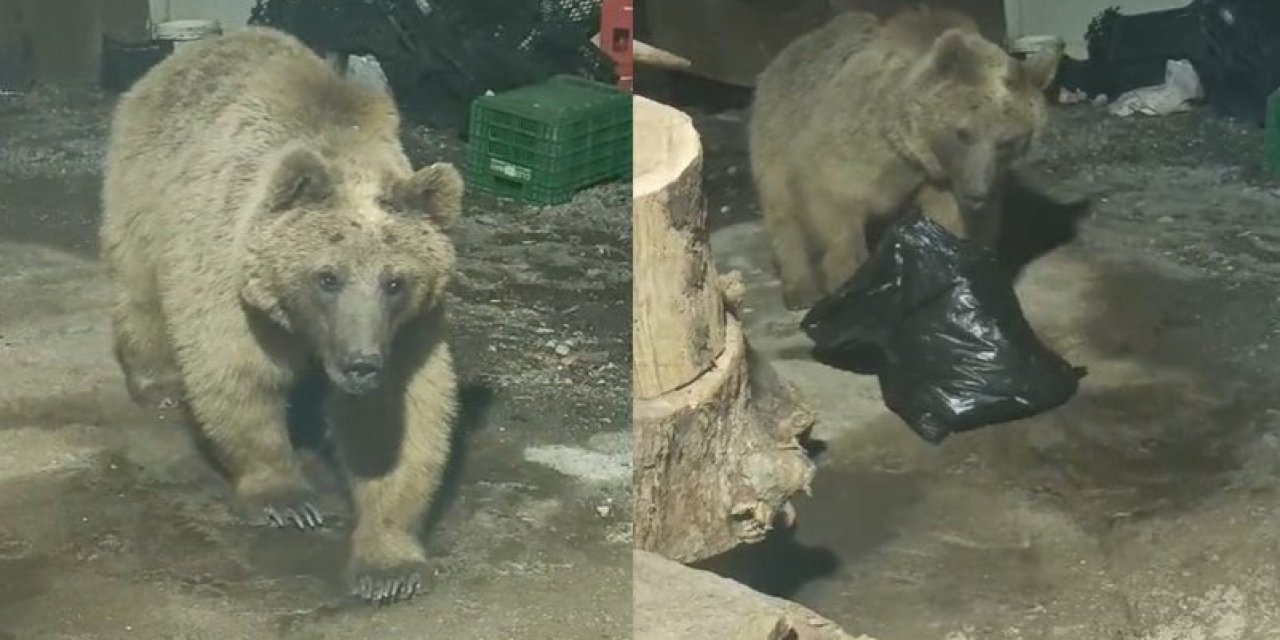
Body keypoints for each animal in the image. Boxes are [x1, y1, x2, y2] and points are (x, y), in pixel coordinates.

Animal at [99, 24, 468, 604]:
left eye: (395, 281)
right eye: (327, 276)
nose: (360, 364)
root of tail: (199, 46)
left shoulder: (408, 332)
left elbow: (395, 422)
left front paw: (388, 565)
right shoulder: (233, 283)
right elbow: (237, 374)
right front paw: (286, 499)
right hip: (145, 182)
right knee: (137, 279)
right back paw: (155, 380)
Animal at [747, 7, 1059, 309]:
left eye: (1008, 141)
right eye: (964, 133)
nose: (977, 193)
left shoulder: (942, 180)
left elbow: (953, 225)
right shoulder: (852, 145)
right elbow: (833, 202)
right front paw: (849, 281)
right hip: (774, 129)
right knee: (782, 212)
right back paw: (800, 290)